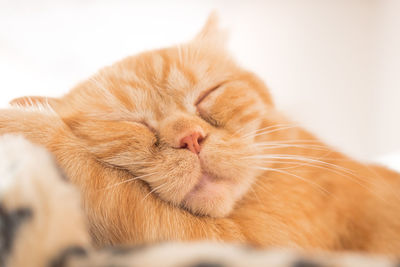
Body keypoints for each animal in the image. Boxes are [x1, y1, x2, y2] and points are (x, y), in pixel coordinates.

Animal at [0, 14, 400, 255]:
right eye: (132, 123)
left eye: (207, 95)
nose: (190, 138)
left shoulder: (242, 243)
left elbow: (88, 171)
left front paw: (20, 122)